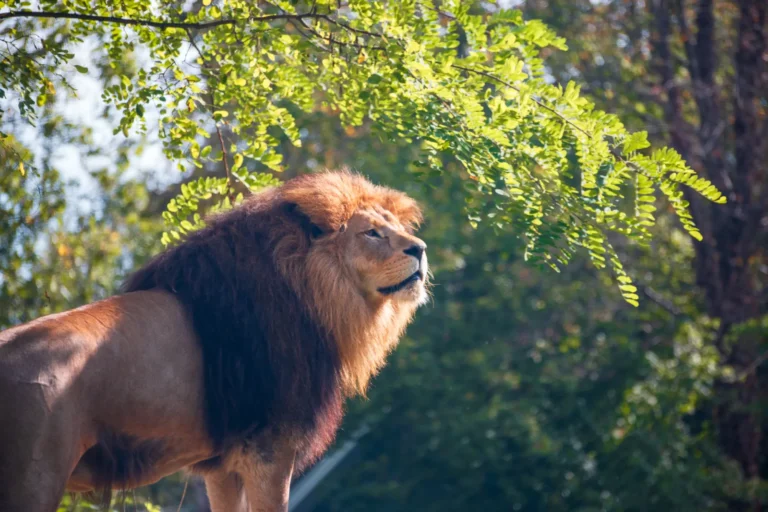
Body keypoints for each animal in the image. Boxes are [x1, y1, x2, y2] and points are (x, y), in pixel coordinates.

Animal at [0, 170, 429, 512]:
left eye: (398, 227)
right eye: (372, 232)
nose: (421, 249)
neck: (312, 293)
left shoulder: (223, 464)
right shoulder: (269, 451)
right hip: (32, 481)